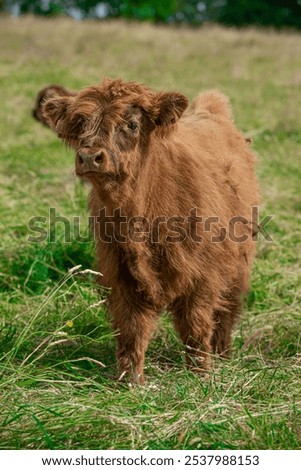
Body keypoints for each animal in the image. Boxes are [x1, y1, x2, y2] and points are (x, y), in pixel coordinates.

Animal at [40, 79, 260, 384]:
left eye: (132, 125)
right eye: (81, 122)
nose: (90, 157)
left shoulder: (203, 274)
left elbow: (196, 324)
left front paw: (200, 374)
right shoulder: (122, 273)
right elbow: (132, 329)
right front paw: (130, 380)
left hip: (238, 263)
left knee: (227, 310)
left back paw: (223, 355)